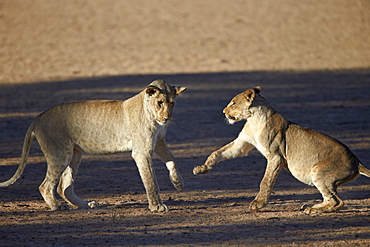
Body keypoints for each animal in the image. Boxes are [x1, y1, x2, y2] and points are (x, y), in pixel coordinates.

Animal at [0, 79, 185, 212]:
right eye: (160, 102)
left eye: (172, 103)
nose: (167, 118)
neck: (152, 115)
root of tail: (39, 117)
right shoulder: (142, 151)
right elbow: (151, 179)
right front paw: (157, 206)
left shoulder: (159, 142)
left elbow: (172, 159)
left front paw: (177, 182)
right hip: (60, 153)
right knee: (46, 186)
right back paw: (57, 206)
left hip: (74, 154)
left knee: (64, 187)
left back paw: (87, 204)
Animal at [195, 86, 368, 214]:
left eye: (233, 103)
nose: (223, 112)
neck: (253, 120)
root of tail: (357, 161)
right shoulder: (242, 145)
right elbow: (217, 153)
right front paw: (202, 168)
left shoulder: (276, 157)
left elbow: (265, 181)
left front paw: (258, 204)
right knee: (331, 199)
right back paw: (311, 206)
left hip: (318, 170)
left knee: (338, 202)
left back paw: (313, 210)